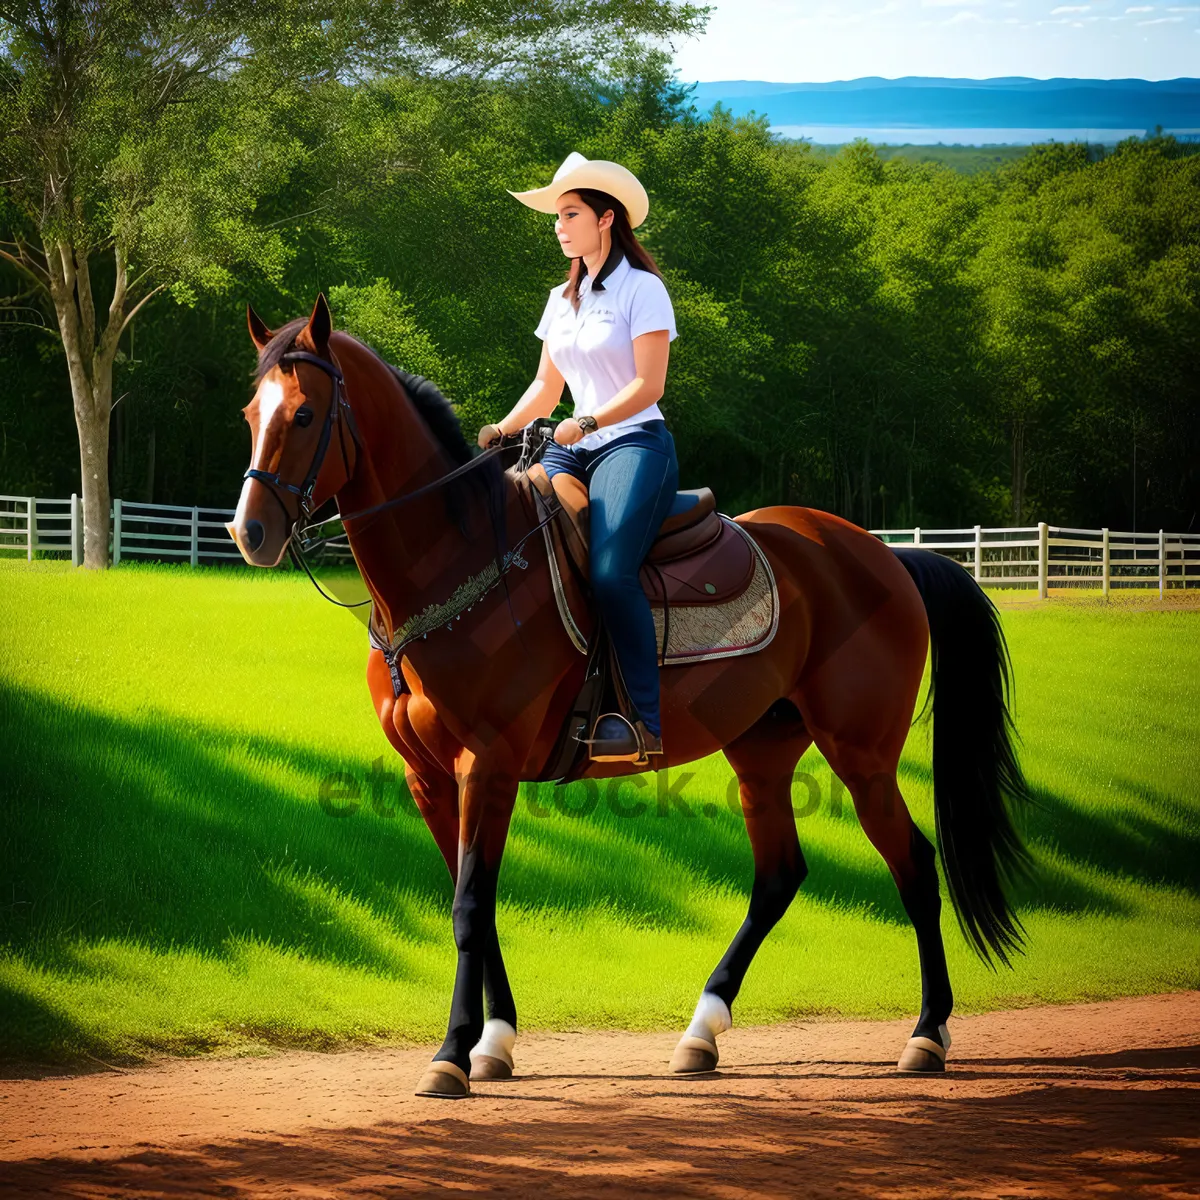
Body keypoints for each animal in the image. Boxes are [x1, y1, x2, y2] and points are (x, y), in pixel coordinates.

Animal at [229, 297, 1036, 1099]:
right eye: (249, 412)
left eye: (305, 415)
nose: (249, 531)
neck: (460, 563)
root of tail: (885, 552)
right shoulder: (427, 775)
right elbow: (476, 904)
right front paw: (495, 1041)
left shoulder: (486, 764)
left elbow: (469, 907)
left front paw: (453, 1054)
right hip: (763, 751)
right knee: (780, 876)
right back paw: (702, 1032)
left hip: (861, 754)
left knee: (915, 866)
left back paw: (927, 1033)